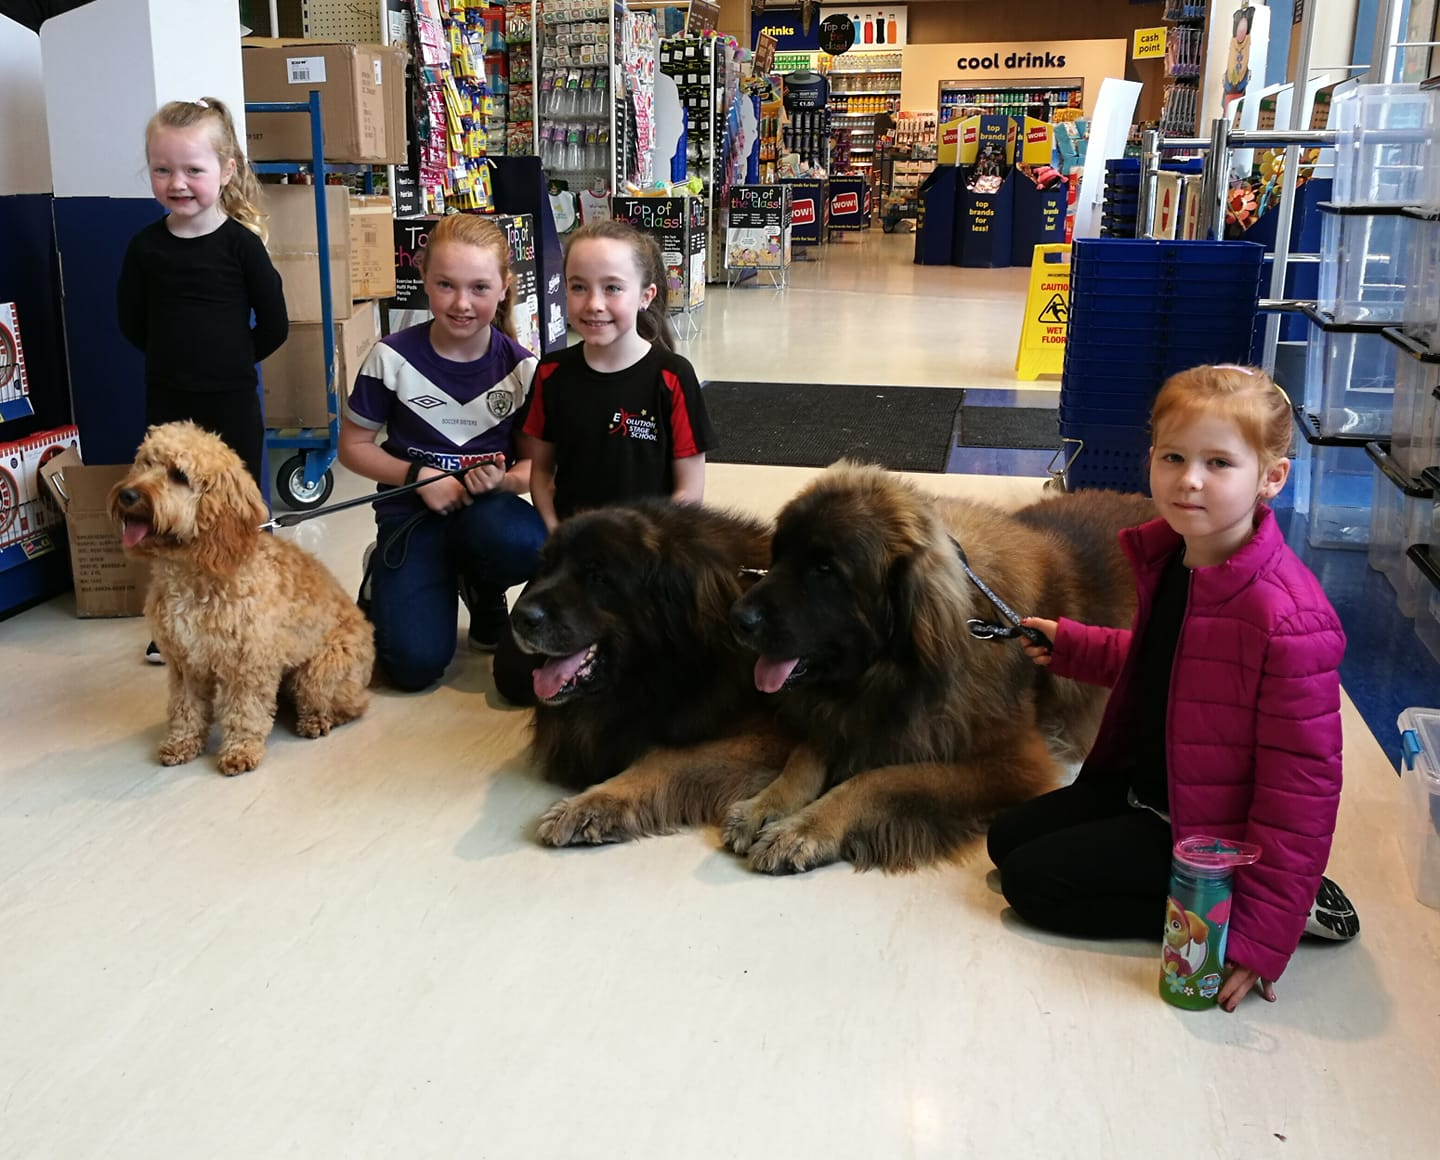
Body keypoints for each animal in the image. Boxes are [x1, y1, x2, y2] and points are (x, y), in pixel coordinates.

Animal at [110, 423, 377, 777]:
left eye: (179, 475)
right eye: (144, 463)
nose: (127, 494)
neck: (191, 572)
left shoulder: (248, 664)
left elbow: (244, 712)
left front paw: (240, 750)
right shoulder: (185, 664)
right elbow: (185, 709)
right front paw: (181, 743)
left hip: (320, 673)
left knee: (350, 704)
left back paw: (316, 720)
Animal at [725, 460, 1152, 875]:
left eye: (825, 570)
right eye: (777, 556)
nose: (737, 618)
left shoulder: (1014, 765)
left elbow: (883, 780)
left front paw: (806, 828)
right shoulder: (855, 713)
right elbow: (806, 753)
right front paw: (767, 803)